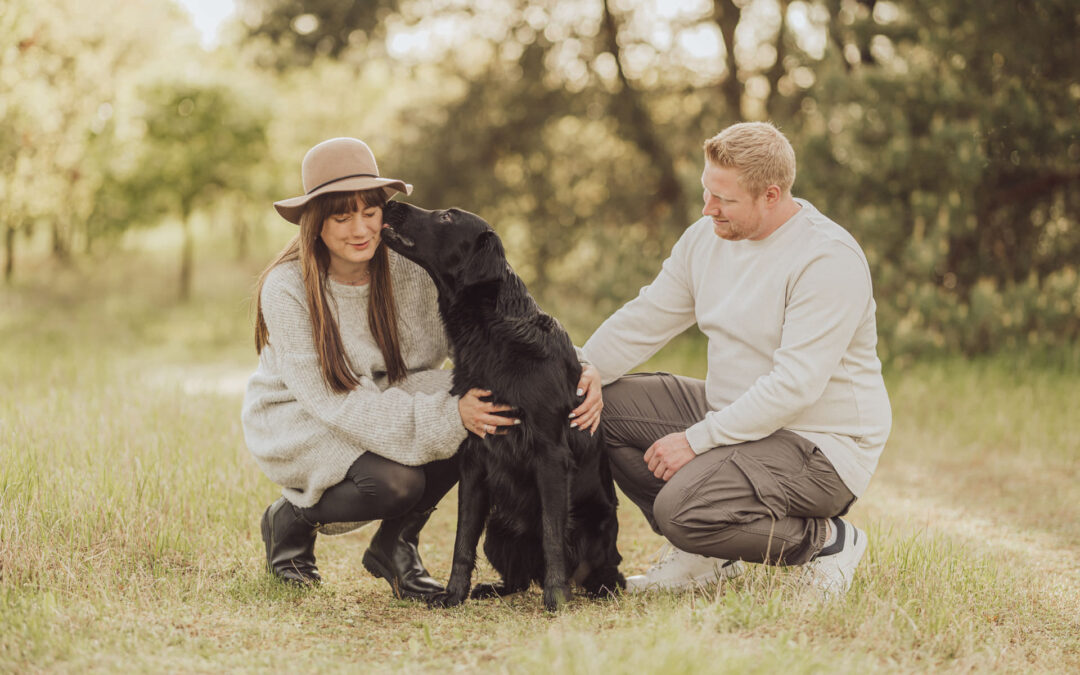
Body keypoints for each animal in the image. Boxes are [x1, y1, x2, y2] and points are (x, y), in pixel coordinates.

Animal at [386, 200, 626, 609]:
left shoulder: (550, 454)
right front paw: (454, 594)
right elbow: (462, 539)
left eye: (446, 217)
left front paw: (556, 597)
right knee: (517, 578)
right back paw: (491, 588)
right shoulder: (474, 456)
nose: (390, 202)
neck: (493, 333)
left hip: (595, 528)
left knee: (604, 573)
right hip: (499, 527)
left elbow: (552, 535)